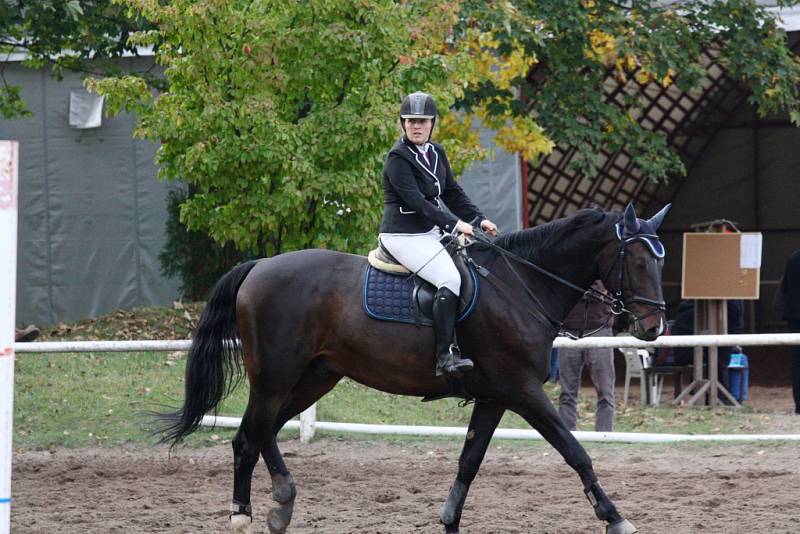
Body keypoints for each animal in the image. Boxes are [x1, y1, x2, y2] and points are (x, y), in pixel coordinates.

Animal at [158, 204, 668, 534]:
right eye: (639, 261)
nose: (653, 327)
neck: (521, 284)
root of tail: (260, 265)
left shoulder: (494, 396)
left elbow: (468, 462)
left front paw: (449, 522)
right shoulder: (523, 390)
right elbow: (575, 452)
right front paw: (616, 518)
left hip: (313, 377)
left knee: (261, 431)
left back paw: (280, 504)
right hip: (275, 377)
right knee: (249, 435)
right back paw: (244, 512)